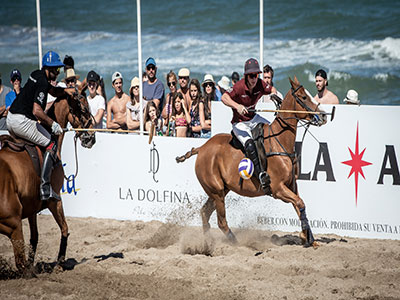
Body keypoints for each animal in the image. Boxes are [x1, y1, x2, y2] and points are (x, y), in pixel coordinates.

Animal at [0, 90, 95, 276]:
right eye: (84, 109)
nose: (91, 138)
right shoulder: (54, 199)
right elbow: (64, 228)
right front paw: (59, 263)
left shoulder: (31, 206)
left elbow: (35, 237)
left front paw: (34, 263)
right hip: (13, 223)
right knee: (19, 261)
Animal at [178, 78, 328, 248]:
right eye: (303, 97)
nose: (323, 115)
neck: (280, 142)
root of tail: (201, 148)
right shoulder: (278, 189)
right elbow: (300, 203)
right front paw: (306, 237)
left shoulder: (292, 185)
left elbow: (299, 205)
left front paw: (309, 238)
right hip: (216, 191)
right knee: (221, 221)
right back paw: (235, 243)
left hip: (220, 190)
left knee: (204, 212)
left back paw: (207, 243)